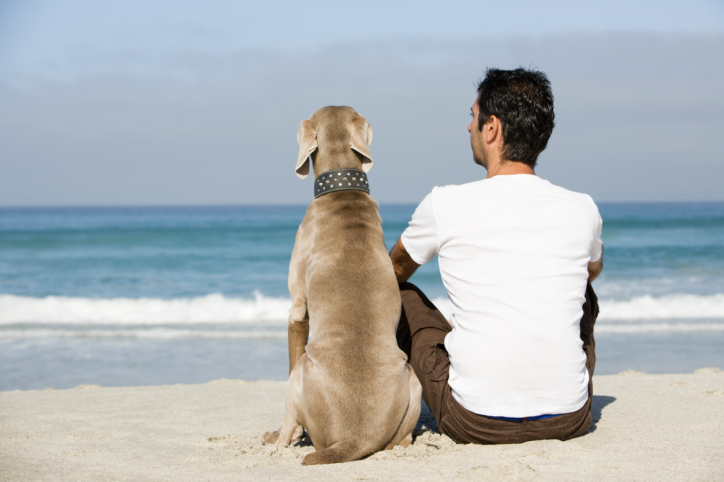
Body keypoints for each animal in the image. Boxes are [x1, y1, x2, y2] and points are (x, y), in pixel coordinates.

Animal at [264, 107, 424, 466]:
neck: (342, 190)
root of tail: (355, 438)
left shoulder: (297, 307)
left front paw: (285, 435)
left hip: (303, 370)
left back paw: (278, 438)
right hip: (413, 381)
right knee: (403, 440)